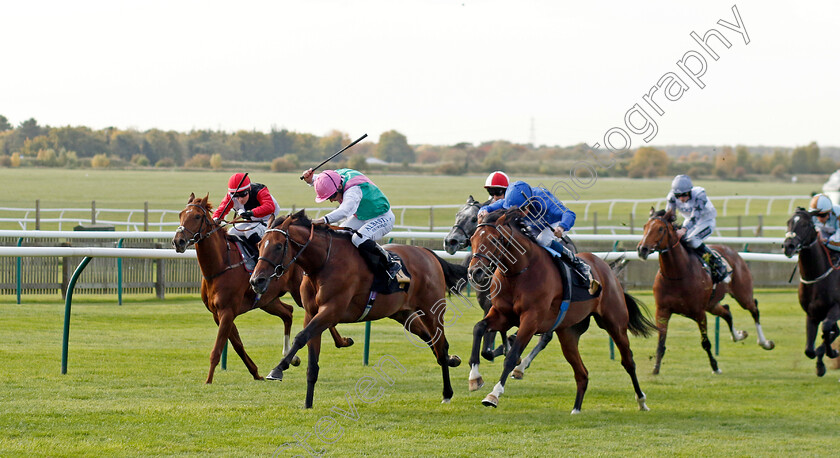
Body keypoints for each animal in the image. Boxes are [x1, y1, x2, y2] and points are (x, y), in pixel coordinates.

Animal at [172, 195, 352, 384]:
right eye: (181, 214)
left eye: (197, 216)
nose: (178, 241)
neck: (220, 266)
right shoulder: (218, 314)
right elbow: (237, 344)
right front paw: (256, 373)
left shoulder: (227, 311)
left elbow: (218, 348)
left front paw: (208, 380)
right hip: (267, 301)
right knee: (288, 312)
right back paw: (290, 355)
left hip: (297, 293)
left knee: (320, 315)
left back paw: (342, 341)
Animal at [249, 211, 466, 408]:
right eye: (259, 245)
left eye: (278, 246)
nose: (256, 281)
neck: (324, 262)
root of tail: (428, 252)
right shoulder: (311, 313)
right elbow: (312, 363)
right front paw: (308, 404)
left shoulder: (332, 310)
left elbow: (301, 337)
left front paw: (278, 369)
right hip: (403, 314)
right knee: (431, 340)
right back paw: (451, 360)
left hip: (432, 310)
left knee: (440, 344)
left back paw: (447, 392)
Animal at [462, 209, 652, 414]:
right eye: (472, 239)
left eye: (494, 240)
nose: (474, 272)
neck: (519, 272)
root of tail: (606, 268)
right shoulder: (502, 315)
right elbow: (479, 328)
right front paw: (475, 377)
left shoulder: (531, 320)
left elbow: (512, 356)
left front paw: (494, 395)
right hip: (569, 333)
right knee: (582, 373)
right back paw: (576, 410)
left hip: (614, 323)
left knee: (628, 361)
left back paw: (642, 401)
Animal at [636, 208, 776, 376]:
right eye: (644, 227)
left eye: (660, 229)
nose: (642, 249)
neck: (677, 274)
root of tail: (733, 252)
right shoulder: (663, 311)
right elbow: (661, 343)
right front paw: (655, 369)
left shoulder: (699, 312)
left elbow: (705, 343)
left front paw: (715, 367)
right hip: (712, 304)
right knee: (727, 311)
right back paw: (738, 335)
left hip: (742, 294)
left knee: (754, 309)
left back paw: (765, 343)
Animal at [780, 208, 840, 376]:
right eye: (789, 222)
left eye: (806, 224)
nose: (788, 246)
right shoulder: (812, 313)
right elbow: (809, 350)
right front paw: (820, 364)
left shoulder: (836, 308)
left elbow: (826, 327)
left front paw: (831, 352)